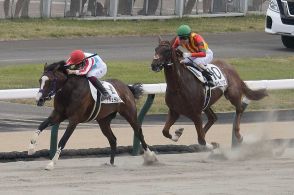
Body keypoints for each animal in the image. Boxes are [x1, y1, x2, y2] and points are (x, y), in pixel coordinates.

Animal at [27, 60, 157, 169]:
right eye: (40, 80)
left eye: (50, 81)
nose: (39, 100)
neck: (69, 91)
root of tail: (127, 87)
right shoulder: (58, 115)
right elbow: (41, 126)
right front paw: (31, 149)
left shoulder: (74, 120)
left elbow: (63, 141)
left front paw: (51, 163)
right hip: (104, 120)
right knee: (113, 139)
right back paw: (111, 163)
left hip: (129, 113)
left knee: (139, 132)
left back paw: (151, 157)